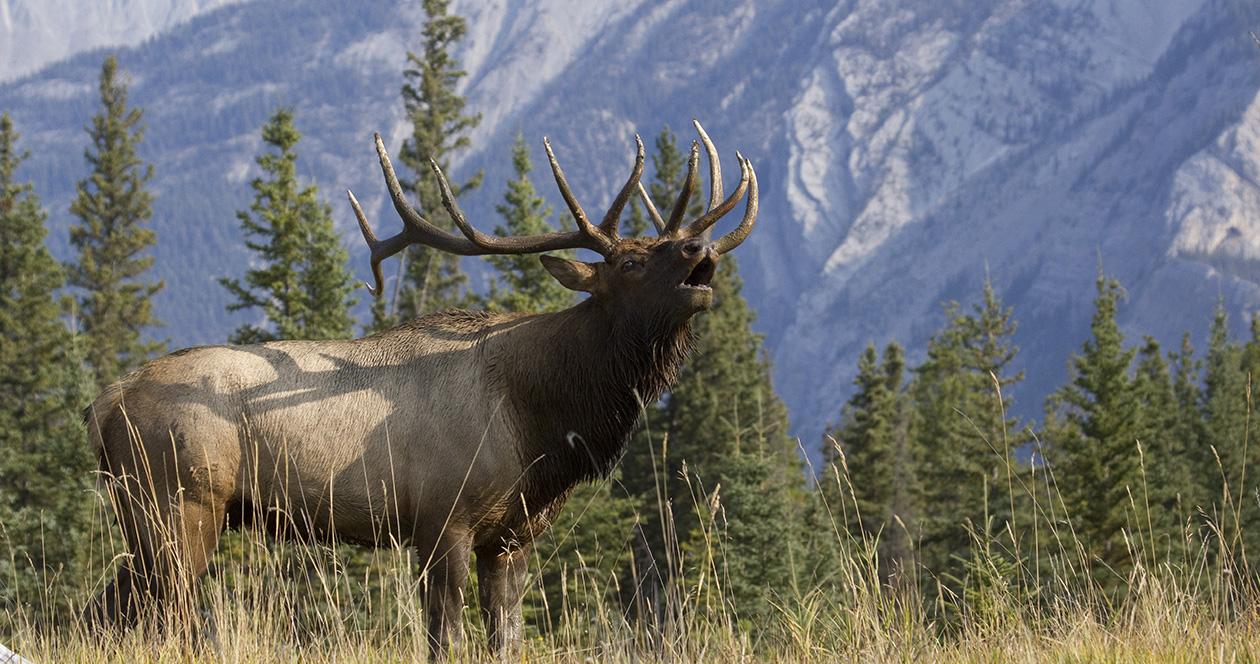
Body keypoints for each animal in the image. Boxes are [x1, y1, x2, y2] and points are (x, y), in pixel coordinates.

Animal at [83, 119, 758, 657]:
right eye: (630, 262)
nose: (699, 247)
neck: (541, 425)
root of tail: (106, 401)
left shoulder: (512, 537)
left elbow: (505, 641)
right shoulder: (443, 518)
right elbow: (447, 639)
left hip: (147, 515)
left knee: (108, 610)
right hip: (180, 503)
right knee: (156, 616)